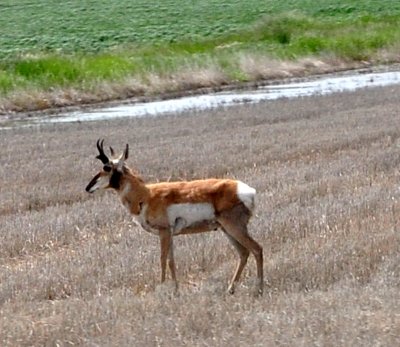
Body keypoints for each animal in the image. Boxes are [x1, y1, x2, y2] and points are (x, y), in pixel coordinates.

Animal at [86, 140, 264, 294]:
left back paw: (259, 289)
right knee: (244, 253)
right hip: (226, 230)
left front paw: (162, 289)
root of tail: (246, 190)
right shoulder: (170, 234)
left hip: (234, 228)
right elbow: (172, 261)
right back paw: (230, 289)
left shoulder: (164, 232)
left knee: (257, 249)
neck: (146, 195)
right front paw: (175, 290)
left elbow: (162, 259)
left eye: (106, 167)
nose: (88, 187)